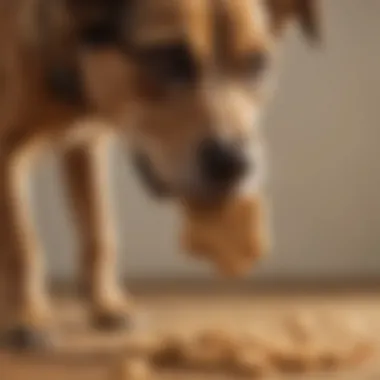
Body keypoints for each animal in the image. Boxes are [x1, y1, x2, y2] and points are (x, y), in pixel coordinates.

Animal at [0, 0, 320, 350]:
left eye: (257, 64)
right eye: (169, 57)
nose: (235, 163)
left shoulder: (86, 145)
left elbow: (98, 233)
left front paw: (106, 304)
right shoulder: (6, 156)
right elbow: (22, 247)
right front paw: (28, 317)